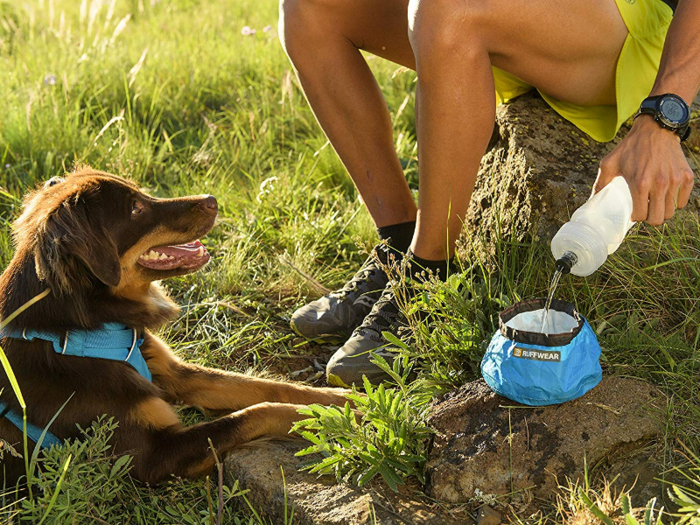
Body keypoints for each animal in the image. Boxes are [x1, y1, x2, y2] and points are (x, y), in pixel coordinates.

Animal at [0, 168, 350, 484]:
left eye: (140, 193)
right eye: (135, 209)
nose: (212, 200)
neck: (78, 330)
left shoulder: (172, 371)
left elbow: (269, 387)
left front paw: (341, 399)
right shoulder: (154, 456)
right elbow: (260, 411)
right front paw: (341, 419)